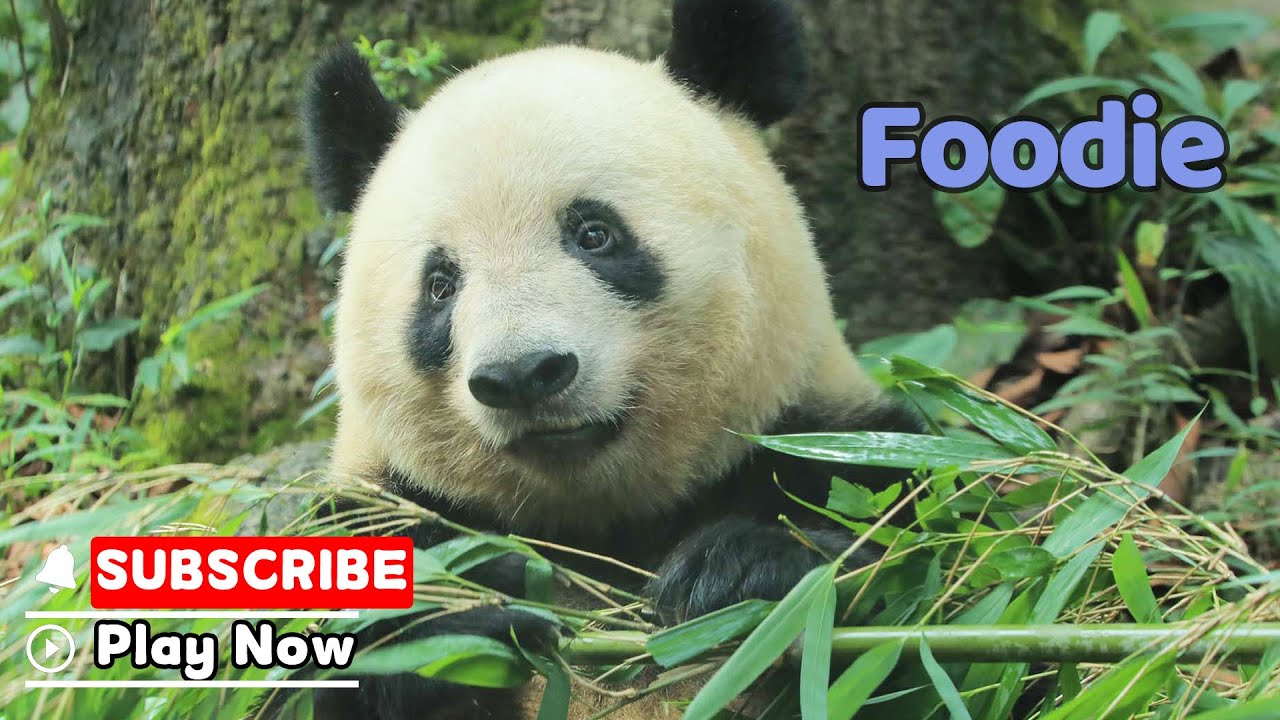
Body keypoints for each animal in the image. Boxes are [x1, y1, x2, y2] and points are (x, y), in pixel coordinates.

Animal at [299, 0, 923, 717]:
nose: (523, 376)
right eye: (440, 284)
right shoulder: (371, 510)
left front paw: (734, 572)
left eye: (594, 234)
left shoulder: (833, 441)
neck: (599, 524)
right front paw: (457, 617)